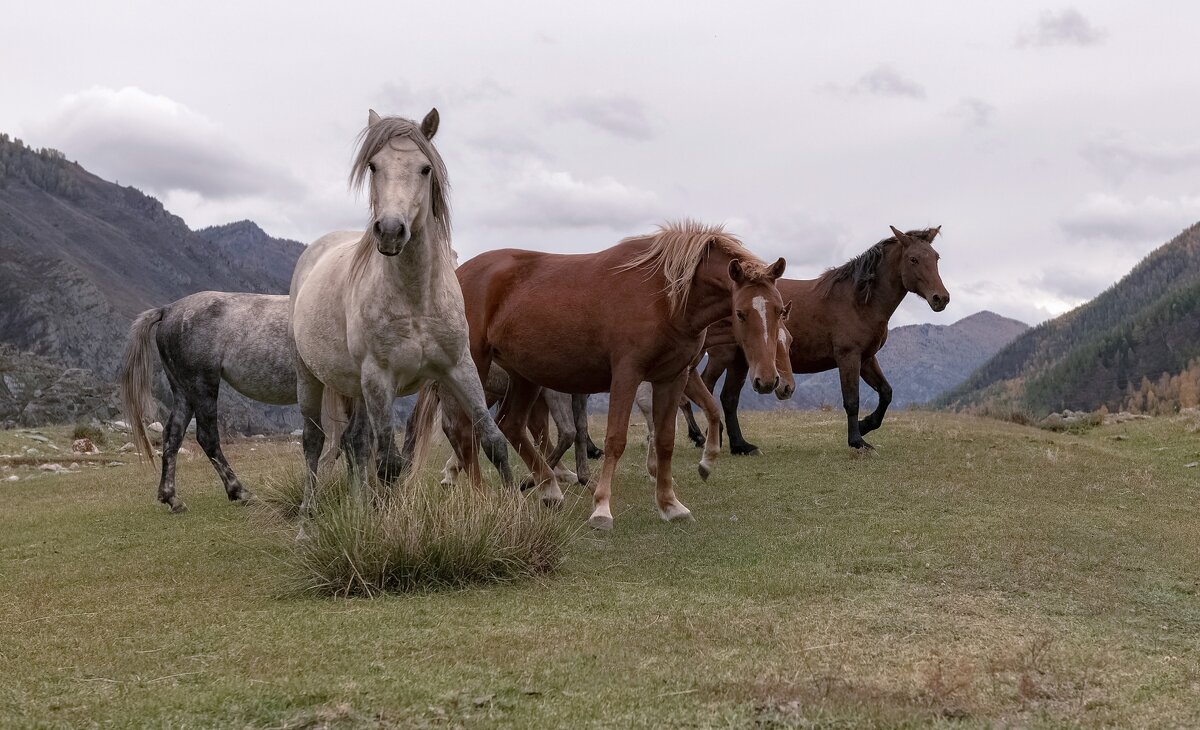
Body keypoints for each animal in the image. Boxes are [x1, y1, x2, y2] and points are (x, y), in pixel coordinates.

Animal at [295, 109, 516, 518]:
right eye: (373, 165)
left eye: (424, 168)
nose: (390, 231)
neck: (415, 301)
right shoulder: (379, 378)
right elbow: (389, 464)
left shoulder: (458, 367)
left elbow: (492, 439)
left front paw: (518, 514)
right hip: (315, 379)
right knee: (316, 442)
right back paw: (308, 513)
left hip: (357, 388)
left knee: (354, 441)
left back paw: (358, 506)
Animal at [417, 219, 792, 528]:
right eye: (741, 313)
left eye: (779, 311)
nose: (768, 380)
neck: (664, 295)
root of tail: (459, 273)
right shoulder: (627, 374)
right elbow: (615, 440)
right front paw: (601, 508)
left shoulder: (672, 378)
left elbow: (665, 440)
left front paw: (670, 504)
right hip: (472, 366)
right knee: (465, 430)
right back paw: (481, 495)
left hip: (524, 376)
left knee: (510, 425)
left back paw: (549, 489)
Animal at [691, 225, 950, 451]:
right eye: (913, 259)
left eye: (936, 258)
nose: (941, 298)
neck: (857, 301)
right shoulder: (848, 357)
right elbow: (852, 400)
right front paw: (857, 441)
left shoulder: (866, 359)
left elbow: (886, 393)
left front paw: (866, 425)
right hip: (724, 356)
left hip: (740, 359)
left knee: (727, 397)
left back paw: (736, 444)